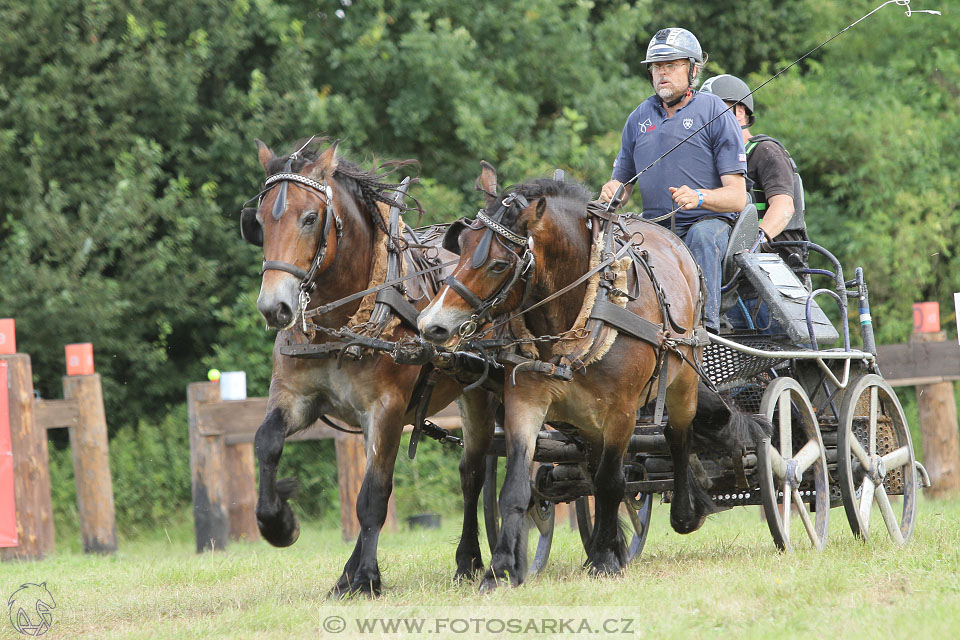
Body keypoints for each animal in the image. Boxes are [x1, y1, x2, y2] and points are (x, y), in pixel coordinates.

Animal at [242, 139, 496, 596]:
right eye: (259, 221)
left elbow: (374, 494)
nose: (275, 307)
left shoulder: (386, 408)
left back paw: (467, 559)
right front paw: (279, 523)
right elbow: (266, 441)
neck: (343, 320)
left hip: (479, 395)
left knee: (472, 473)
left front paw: (366, 579)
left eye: (310, 218)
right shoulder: (296, 398)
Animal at [420, 164, 764, 592]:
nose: (432, 325)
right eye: (462, 245)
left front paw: (603, 560)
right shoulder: (526, 401)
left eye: (499, 264)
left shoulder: (623, 410)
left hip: (682, 377)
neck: (578, 308)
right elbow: (515, 487)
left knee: (677, 436)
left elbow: (612, 481)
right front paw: (499, 569)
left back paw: (681, 514)